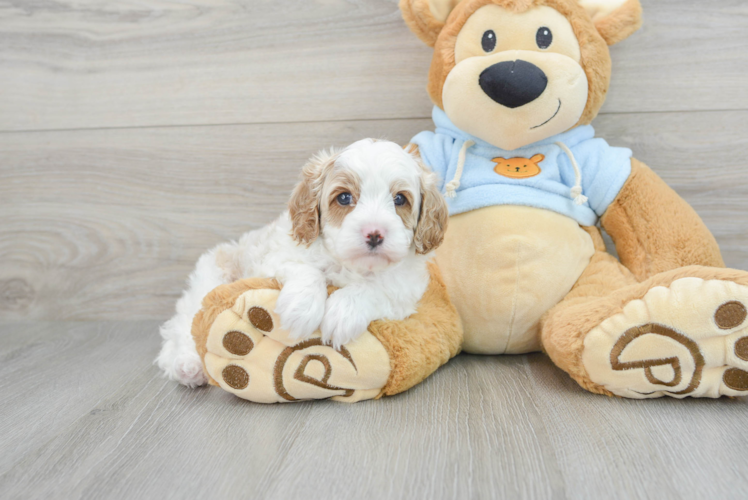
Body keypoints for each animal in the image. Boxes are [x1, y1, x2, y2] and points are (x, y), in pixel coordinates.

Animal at [156, 139, 450, 388]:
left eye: (400, 199)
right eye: (344, 198)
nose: (374, 234)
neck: (351, 266)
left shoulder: (405, 289)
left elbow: (376, 289)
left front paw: (343, 313)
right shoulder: (277, 257)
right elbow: (306, 270)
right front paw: (301, 309)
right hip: (209, 279)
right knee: (184, 326)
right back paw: (188, 365)